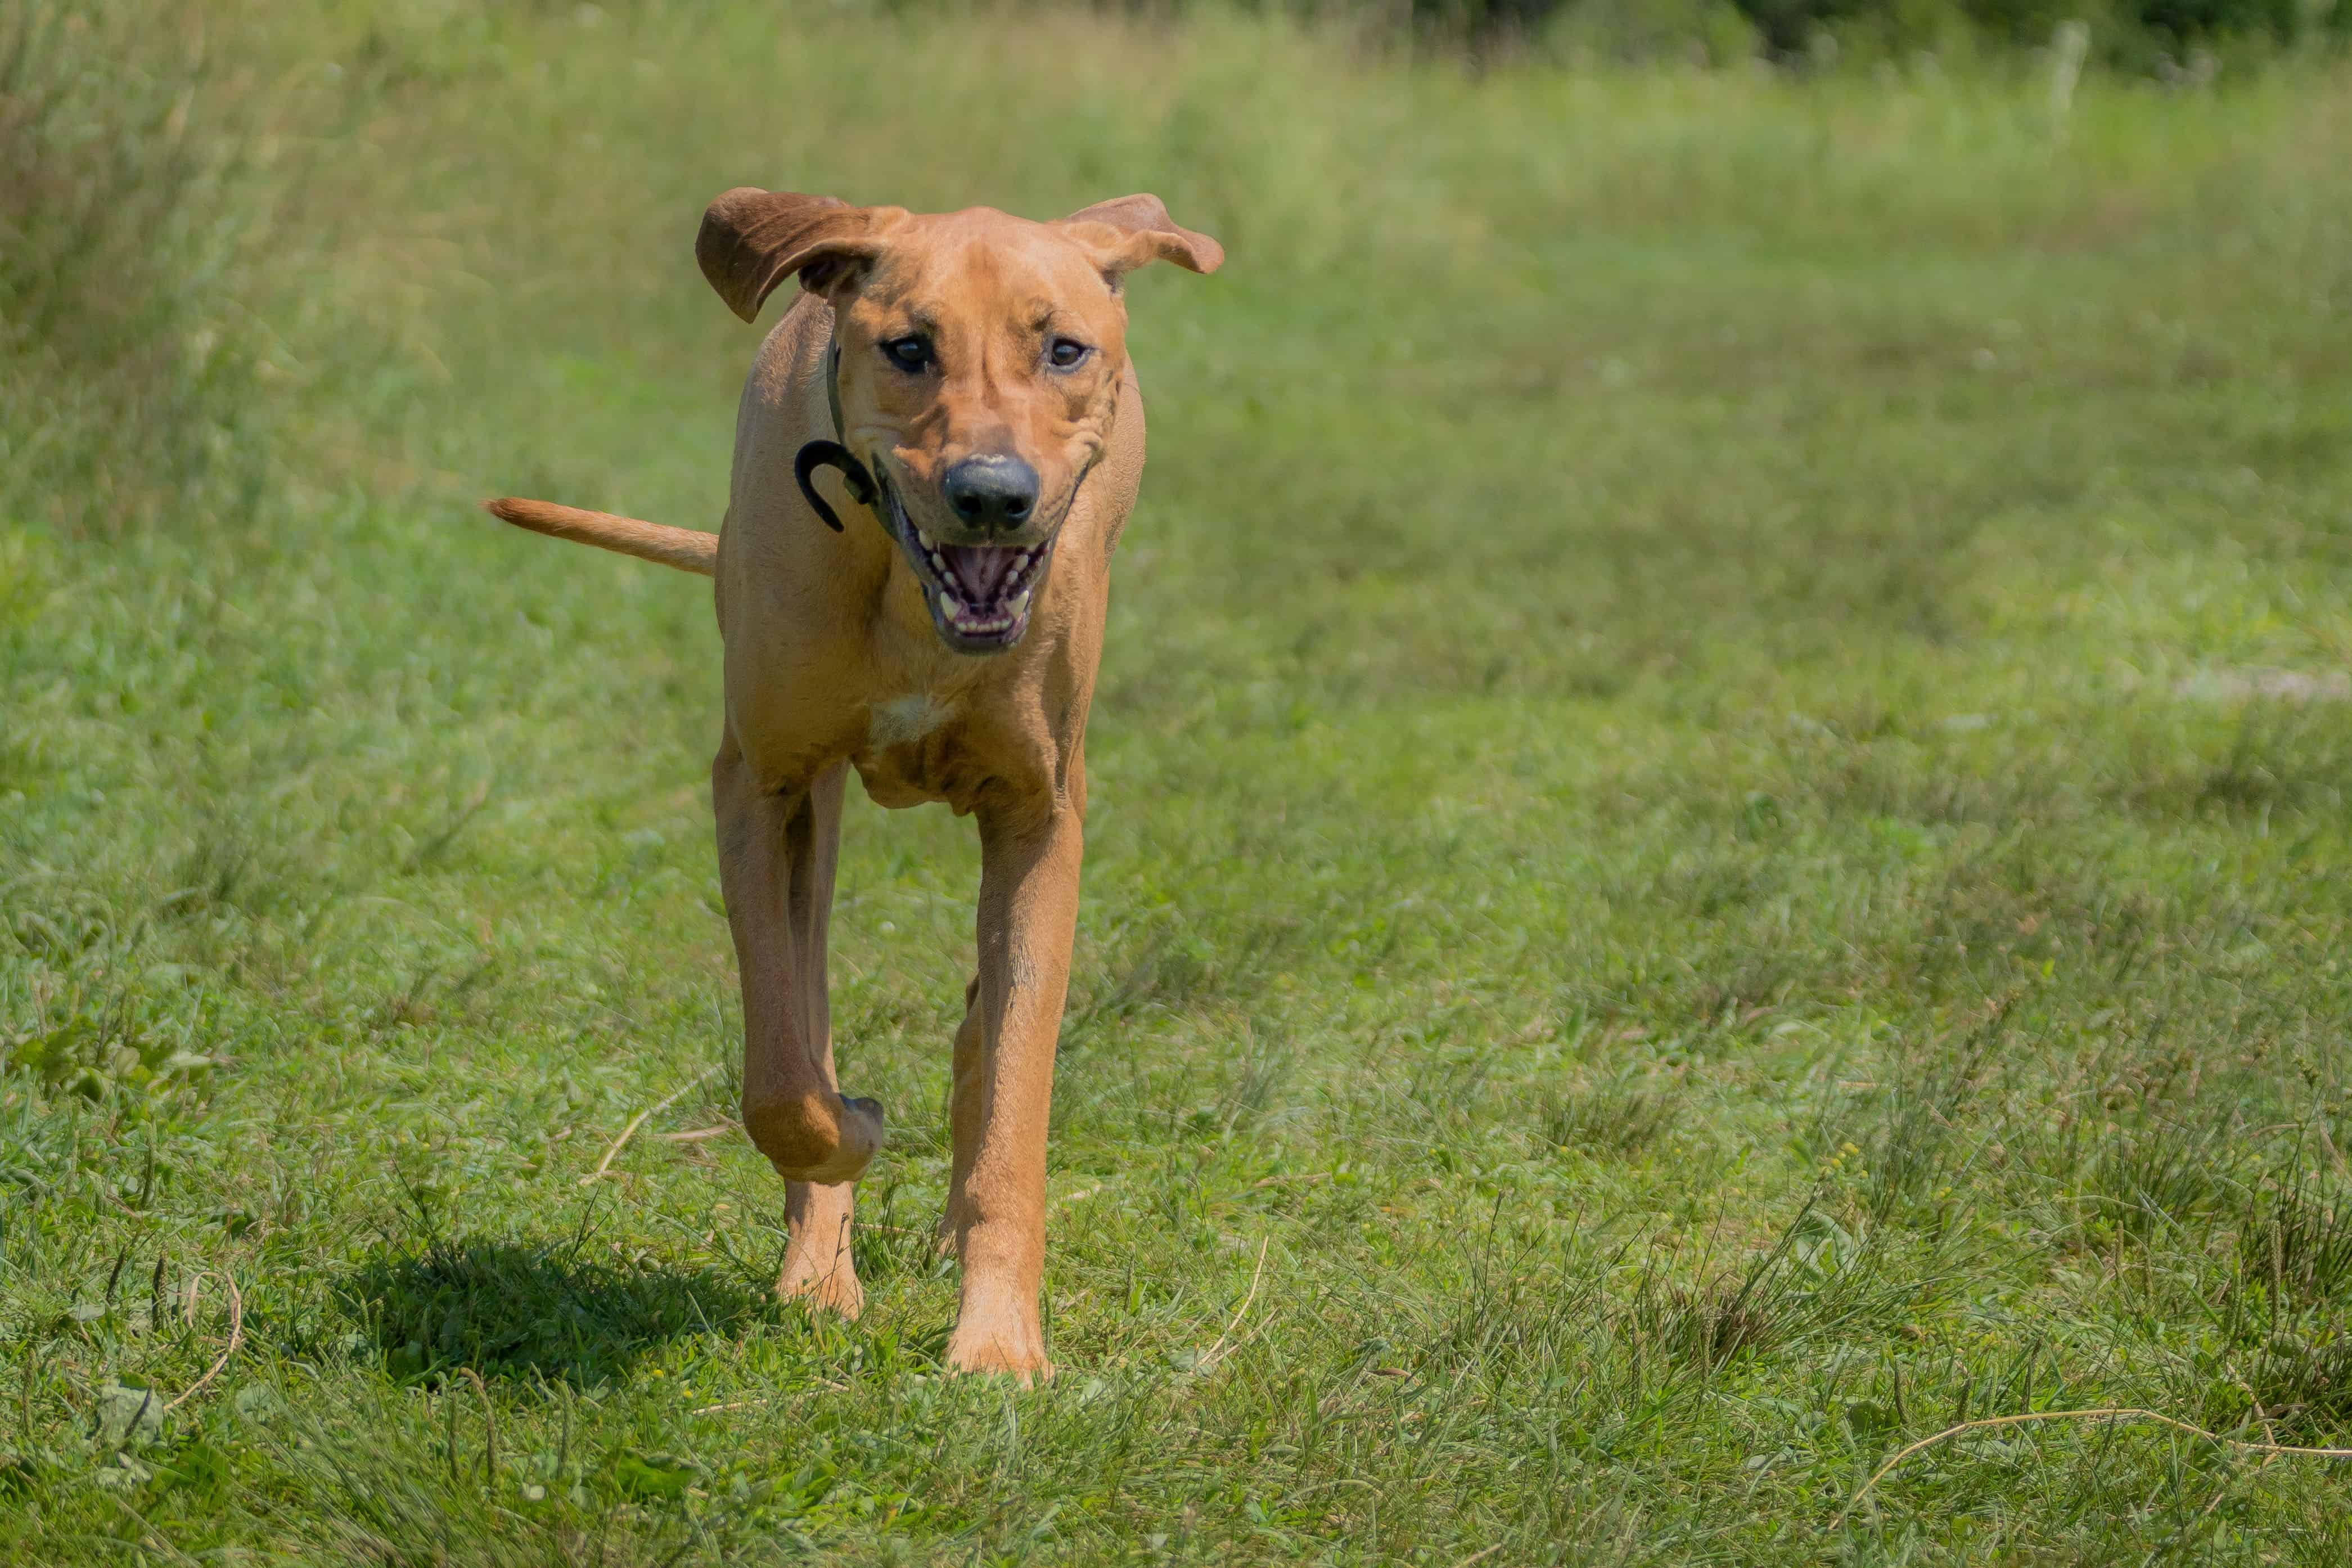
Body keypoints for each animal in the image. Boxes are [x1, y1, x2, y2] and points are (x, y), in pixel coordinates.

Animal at [477, 190, 1213, 1382]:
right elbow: (785, 1077)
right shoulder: (762, 784)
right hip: (809, 811)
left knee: (980, 1030)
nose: (992, 496)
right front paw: (851, 1145)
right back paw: (819, 1263)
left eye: (1063, 348)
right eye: (908, 348)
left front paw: (998, 1341)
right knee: (806, 1008)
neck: (911, 594)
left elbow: (1016, 1099)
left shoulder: (1040, 817)